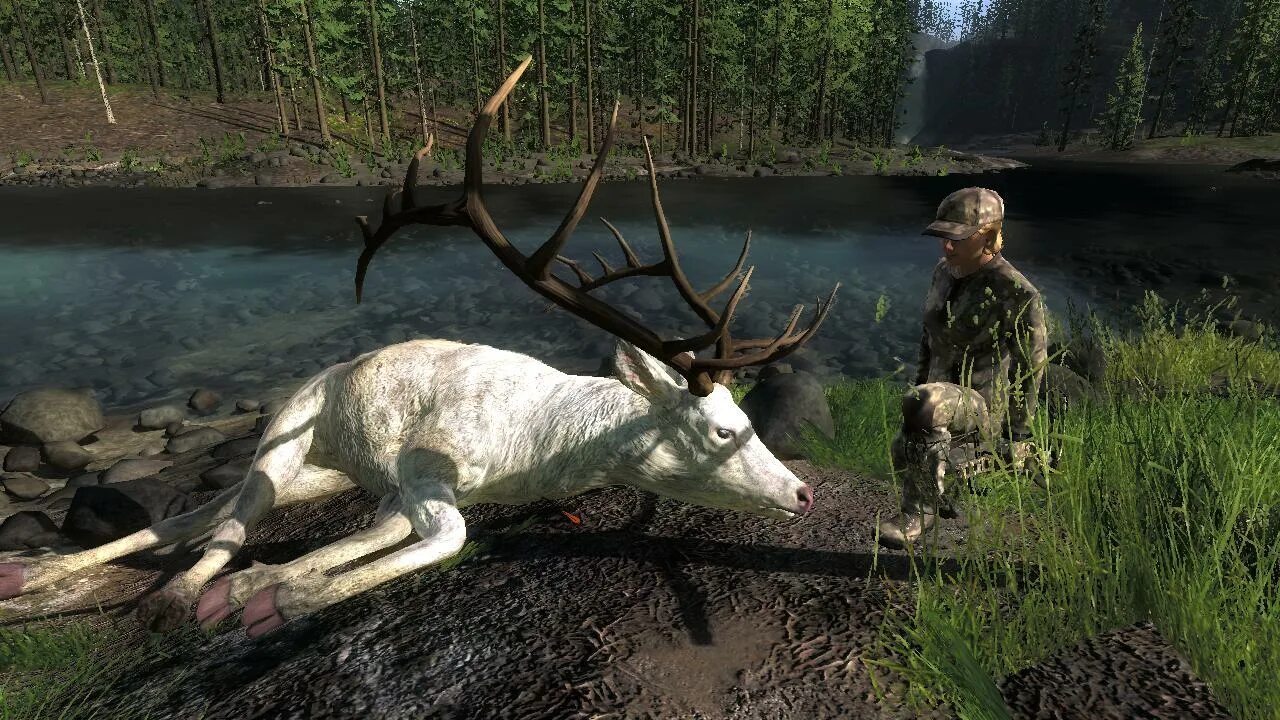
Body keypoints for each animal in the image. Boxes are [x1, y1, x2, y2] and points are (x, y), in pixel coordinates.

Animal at [0, 56, 839, 639]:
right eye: (724, 431)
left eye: (749, 421)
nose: (802, 494)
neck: (533, 447)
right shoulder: (424, 471)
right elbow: (445, 537)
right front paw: (270, 601)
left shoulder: (407, 490)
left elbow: (377, 540)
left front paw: (265, 588)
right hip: (287, 434)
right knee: (233, 517)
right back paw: (160, 592)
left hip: (325, 476)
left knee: (204, 513)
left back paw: (44, 576)